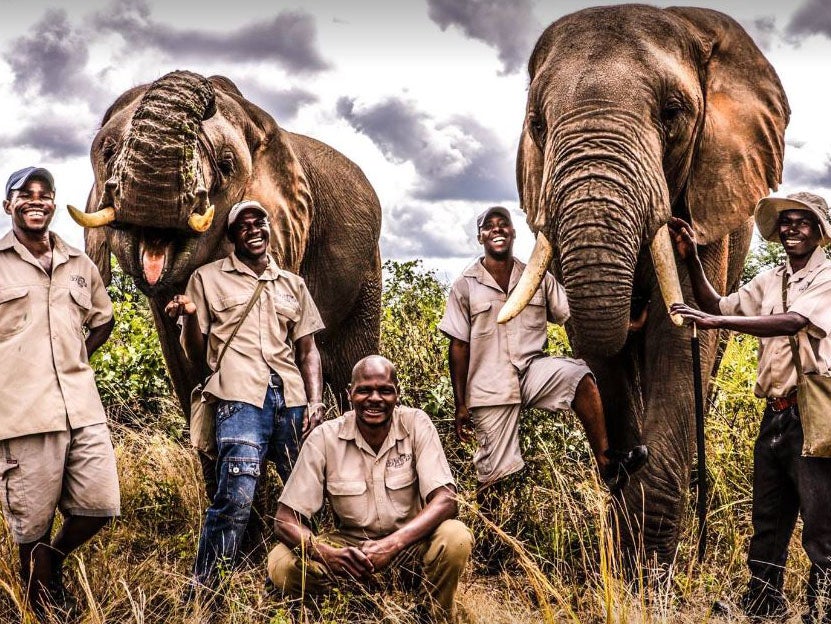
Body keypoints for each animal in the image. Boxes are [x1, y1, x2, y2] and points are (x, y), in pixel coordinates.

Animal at [504, 6, 788, 560]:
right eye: (537, 124)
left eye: (673, 113)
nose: (625, 458)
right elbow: (600, 351)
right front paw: (627, 542)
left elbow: (676, 341)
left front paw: (650, 563)